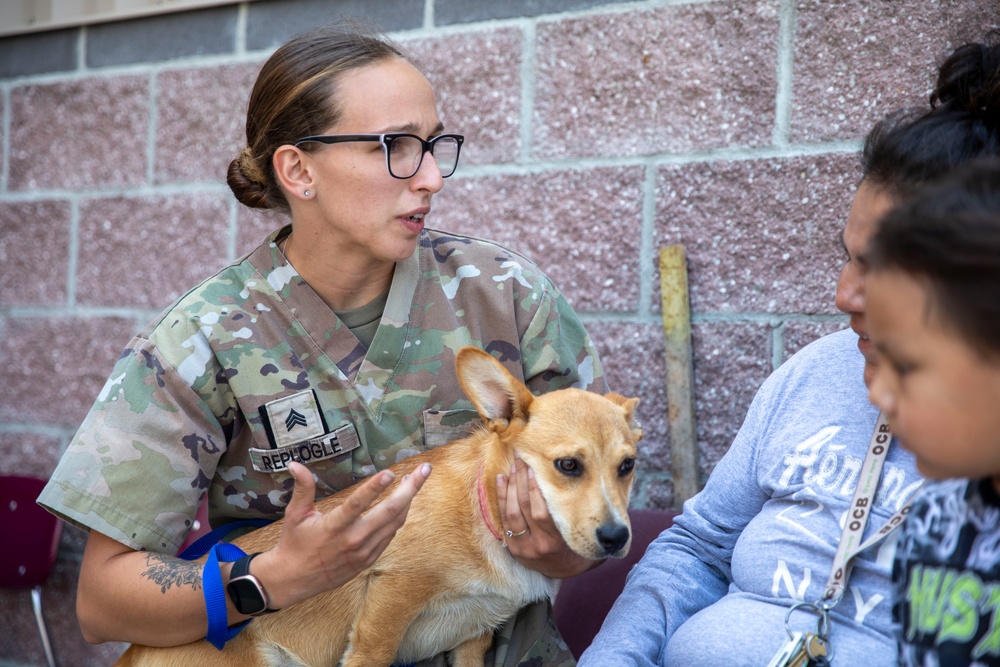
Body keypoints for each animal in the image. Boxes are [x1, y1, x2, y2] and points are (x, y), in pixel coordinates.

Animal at [115, 348, 640, 667]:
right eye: (568, 465)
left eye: (628, 466)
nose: (618, 539)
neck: (484, 517)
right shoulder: (390, 599)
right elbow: (372, 653)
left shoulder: (474, 637)